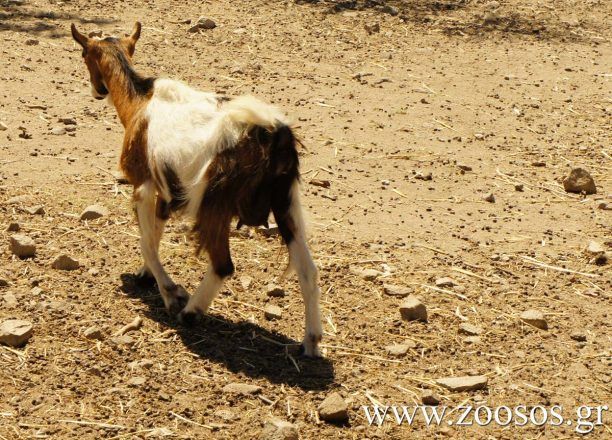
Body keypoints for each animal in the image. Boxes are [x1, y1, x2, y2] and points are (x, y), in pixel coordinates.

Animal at [70, 22, 322, 356]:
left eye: (84, 55)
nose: (97, 91)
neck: (140, 101)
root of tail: (275, 134)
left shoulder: (142, 182)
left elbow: (146, 240)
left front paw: (170, 292)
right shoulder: (166, 189)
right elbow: (156, 231)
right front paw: (145, 275)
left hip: (215, 201)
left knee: (223, 265)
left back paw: (191, 312)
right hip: (286, 200)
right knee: (308, 269)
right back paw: (312, 342)